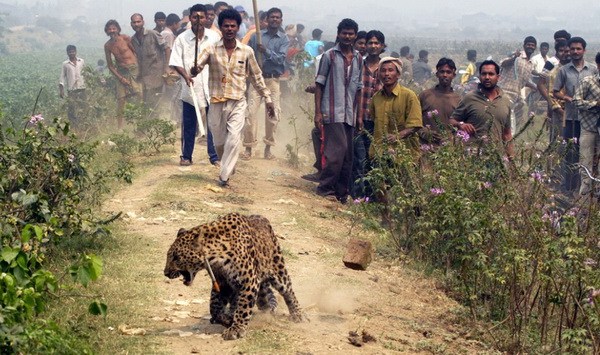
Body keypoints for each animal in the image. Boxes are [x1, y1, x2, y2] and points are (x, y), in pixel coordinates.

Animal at [164, 213, 304, 340]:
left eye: (176, 257)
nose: (165, 273)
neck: (215, 256)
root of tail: (263, 218)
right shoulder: (222, 283)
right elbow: (214, 307)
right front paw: (226, 320)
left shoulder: (249, 281)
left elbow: (243, 307)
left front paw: (236, 329)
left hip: (278, 268)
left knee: (288, 291)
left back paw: (298, 315)